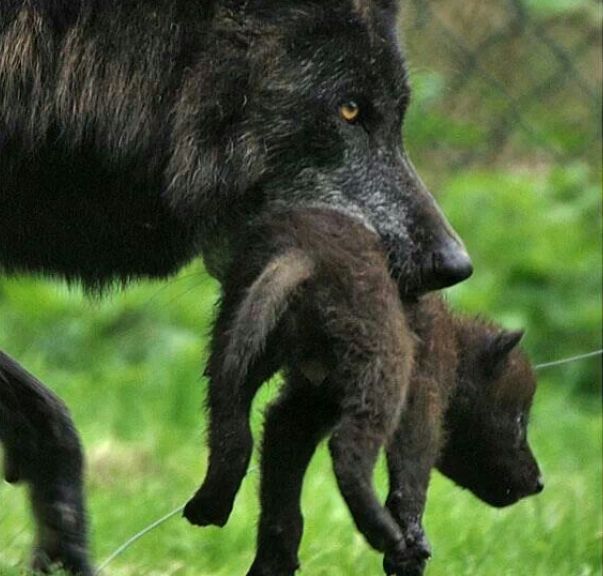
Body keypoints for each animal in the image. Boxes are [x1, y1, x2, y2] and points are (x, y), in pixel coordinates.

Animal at [186, 208, 418, 576]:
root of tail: (305, 258)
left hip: (240, 332)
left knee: (230, 421)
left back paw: (209, 506)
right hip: (382, 362)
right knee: (348, 449)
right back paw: (383, 531)